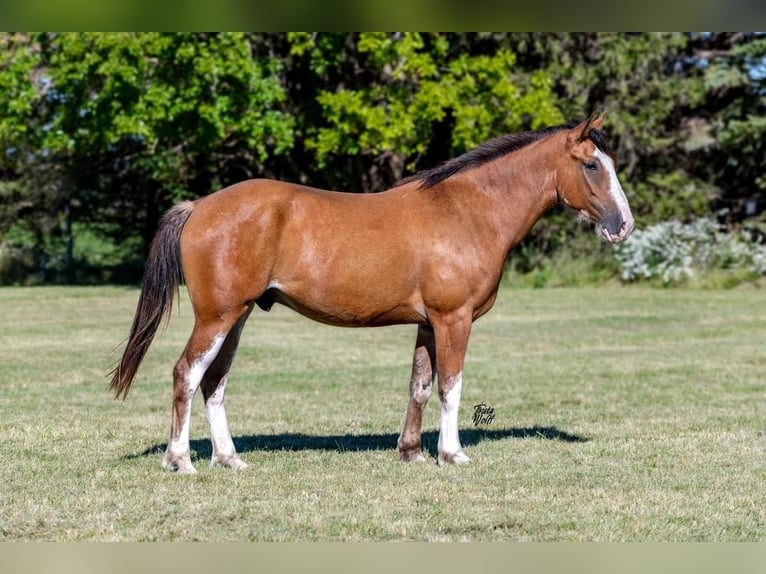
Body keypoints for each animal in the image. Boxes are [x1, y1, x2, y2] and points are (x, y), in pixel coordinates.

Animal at [108, 110, 636, 474]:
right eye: (592, 165)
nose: (624, 225)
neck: (467, 210)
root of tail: (199, 206)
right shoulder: (453, 318)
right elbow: (450, 386)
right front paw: (452, 454)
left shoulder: (428, 323)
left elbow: (420, 386)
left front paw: (411, 452)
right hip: (217, 317)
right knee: (186, 374)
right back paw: (180, 460)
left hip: (237, 317)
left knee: (214, 383)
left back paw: (229, 459)